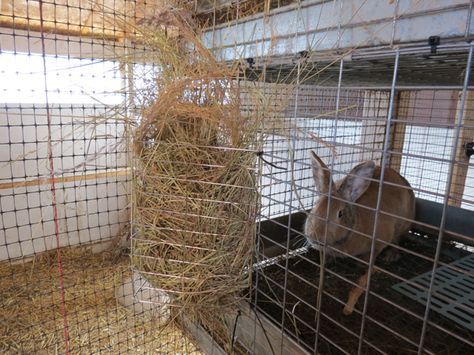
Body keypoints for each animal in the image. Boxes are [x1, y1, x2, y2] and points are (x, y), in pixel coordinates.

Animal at [306, 152, 412, 316]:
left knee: (396, 241)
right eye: (315, 207)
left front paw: (361, 267)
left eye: (340, 214)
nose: (313, 236)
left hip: (402, 227)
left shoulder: (377, 244)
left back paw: (391, 256)